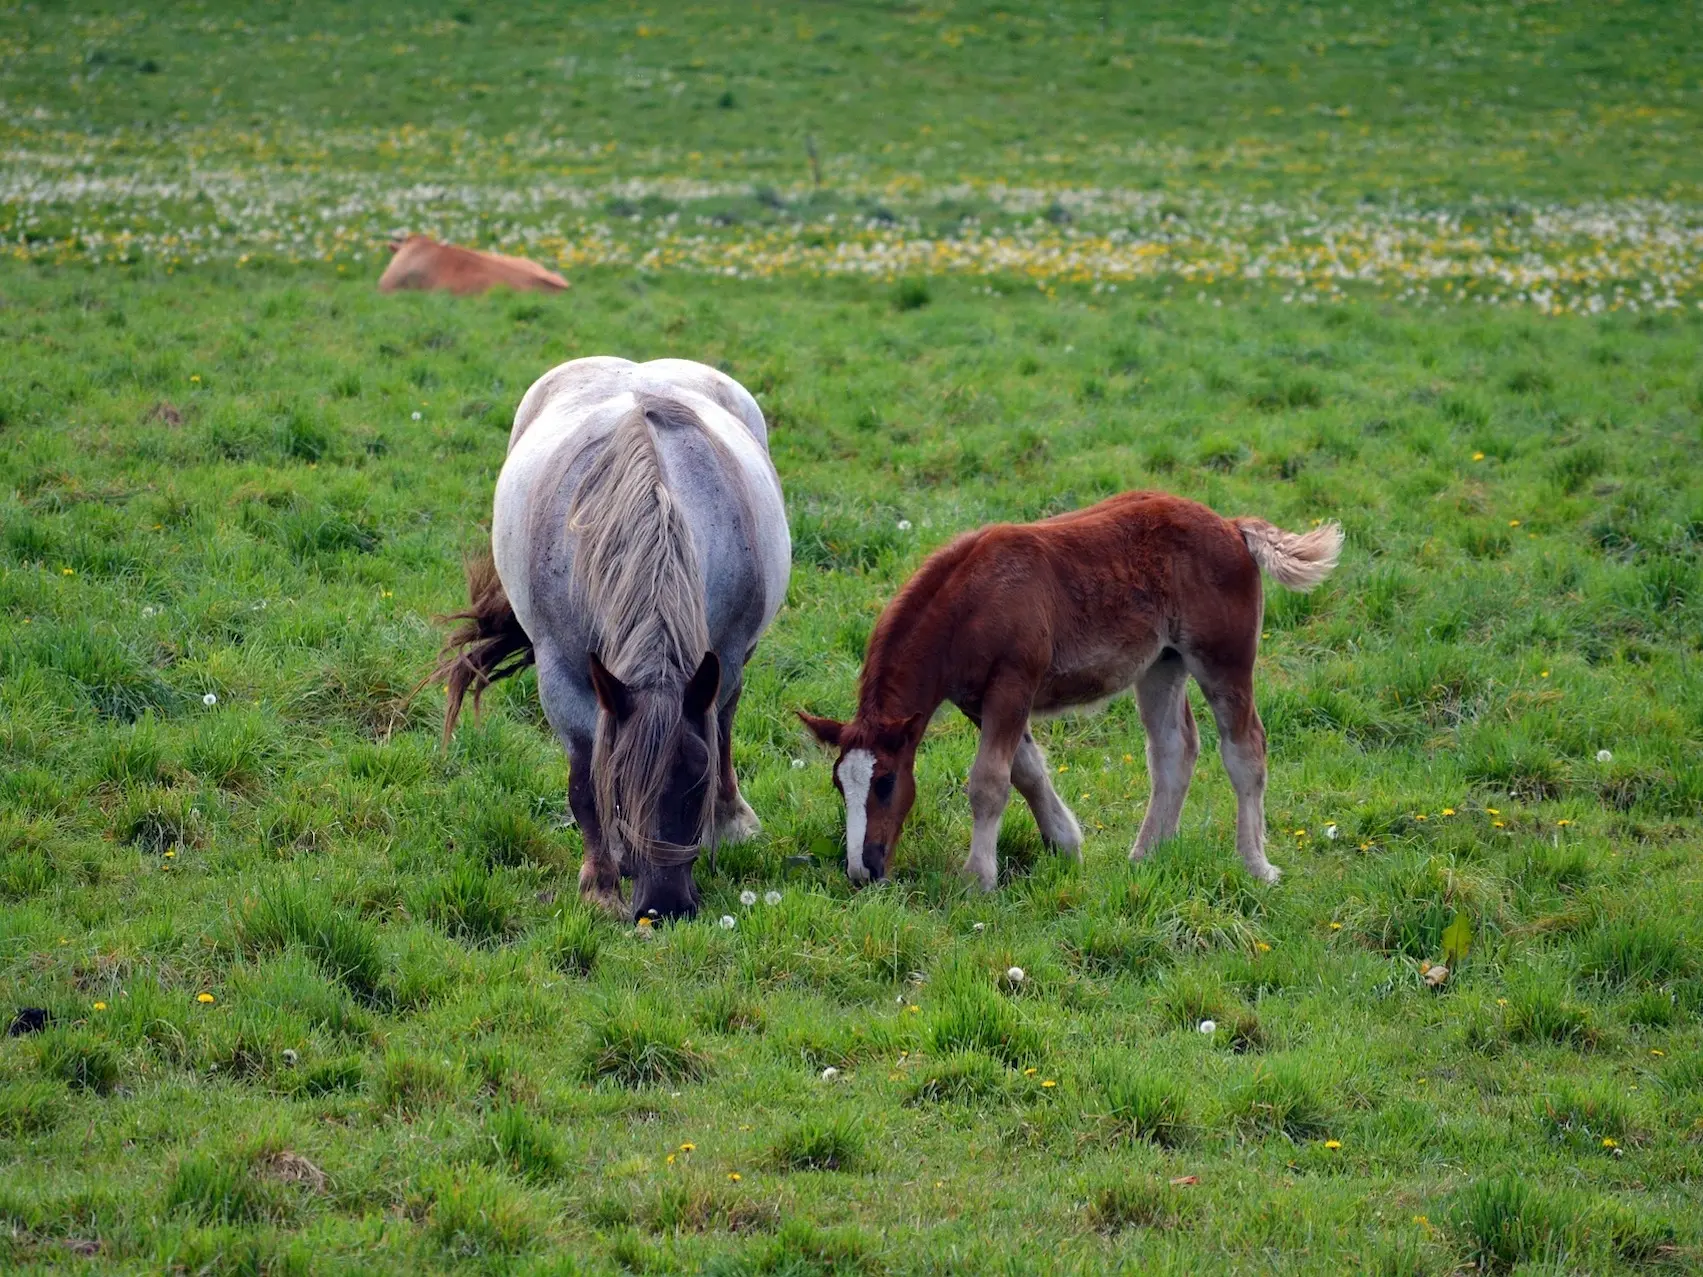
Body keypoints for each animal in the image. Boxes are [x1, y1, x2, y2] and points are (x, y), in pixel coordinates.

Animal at [432, 357, 790, 919]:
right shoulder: (563, 679)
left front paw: (723, 822)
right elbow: (584, 783)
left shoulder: (724, 663)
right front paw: (599, 886)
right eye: (620, 785)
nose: (664, 909)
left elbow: (719, 733)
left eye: (696, 783)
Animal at [800, 490, 1341, 892]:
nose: (862, 871)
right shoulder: (980, 701)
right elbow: (1027, 772)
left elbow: (989, 783)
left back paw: (1255, 865)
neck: (970, 602)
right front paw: (1064, 844)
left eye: (886, 782)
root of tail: (1233, 526)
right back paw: (1149, 855)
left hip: (1223, 659)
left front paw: (978, 879)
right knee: (1174, 751)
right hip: (1161, 666)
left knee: (1245, 750)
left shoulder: (1013, 685)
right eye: (838, 785)